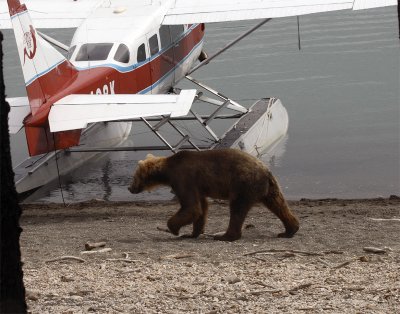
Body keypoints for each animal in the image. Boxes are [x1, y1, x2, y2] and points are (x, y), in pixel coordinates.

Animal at [127, 148, 296, 242]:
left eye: (134, 177)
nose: (129, 188)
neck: (167, 173)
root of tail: (266, 170)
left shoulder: (184, 178)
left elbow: (190, 207)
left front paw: (174, 229)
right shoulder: (198, 187)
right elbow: (201, 208)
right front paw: (192, 233)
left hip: (243, 184)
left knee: (237, 209)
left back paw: (225, 236)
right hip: (269, 188)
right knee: (279, 205)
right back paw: (289, 230)